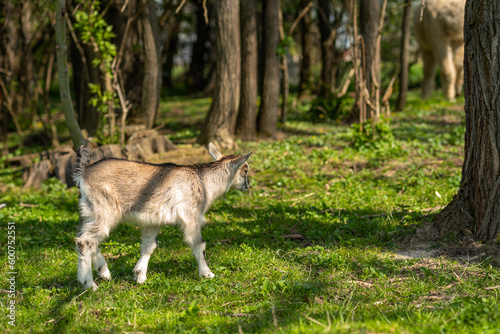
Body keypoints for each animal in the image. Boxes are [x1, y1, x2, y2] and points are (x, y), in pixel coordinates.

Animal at [72, 144, 252, 290]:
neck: (204, 182)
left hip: (91, 211)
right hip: (104, 210)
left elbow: (149, 246)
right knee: (85, 241)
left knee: (87, 239)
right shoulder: (191, 216)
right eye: (245, 170)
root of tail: (84, 173)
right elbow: (199, 244)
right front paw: (207, 274)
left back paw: (104, 272)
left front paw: (140, 276)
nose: (248, 186)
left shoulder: (153, 221)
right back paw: (89, 284)